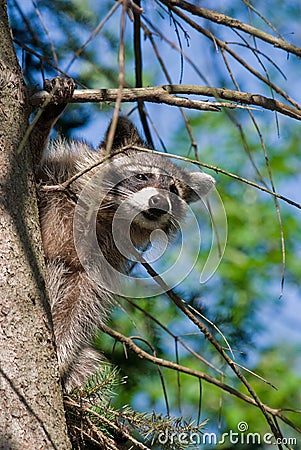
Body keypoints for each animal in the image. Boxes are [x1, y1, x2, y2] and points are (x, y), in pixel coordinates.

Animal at [32, 77, 213, 390]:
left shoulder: (101, 262)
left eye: (174, 190)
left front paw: (61, 356)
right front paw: (47, 116)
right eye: (142, 176)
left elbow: (79, 311)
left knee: (87, 359)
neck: (105, 215)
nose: (160, 203)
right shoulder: (56, 175)